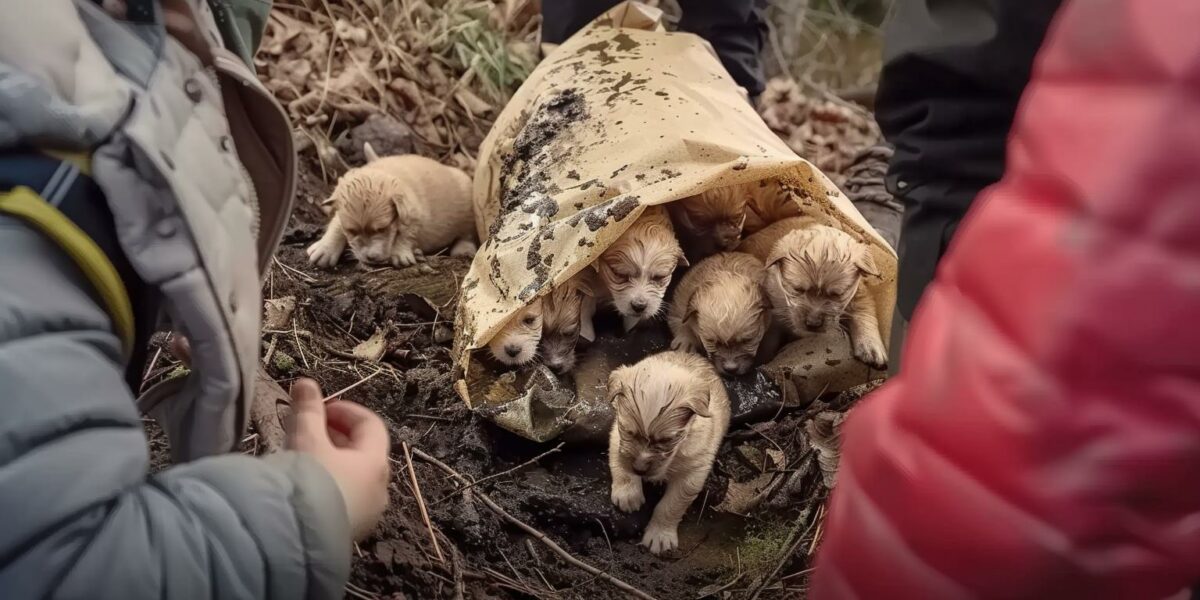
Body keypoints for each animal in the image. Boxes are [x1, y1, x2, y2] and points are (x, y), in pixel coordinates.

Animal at [304, 142, 477, 267]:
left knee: (466, 233)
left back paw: (464, 249)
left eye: (382, 229)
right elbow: (337, 224)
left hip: (467, 201)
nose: (371, 257)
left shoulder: (414, 214)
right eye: (352, 231)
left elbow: (406, 233)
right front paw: (325, 249)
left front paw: (399, 253)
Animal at [609, 350, 729, 552]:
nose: (639, 469)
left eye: (666, 440)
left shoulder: (691, 474)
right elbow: (620, 462)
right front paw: (628, 493)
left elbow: (670, 506)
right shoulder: (617, 437)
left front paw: (659, 534)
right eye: (628, 431)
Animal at [734, 219, 888, 369]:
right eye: (797, 289)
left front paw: (871, 346)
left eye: (836, 295)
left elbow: (864, 311)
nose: (813, 324)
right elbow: (768, 340)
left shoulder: (859, 291)